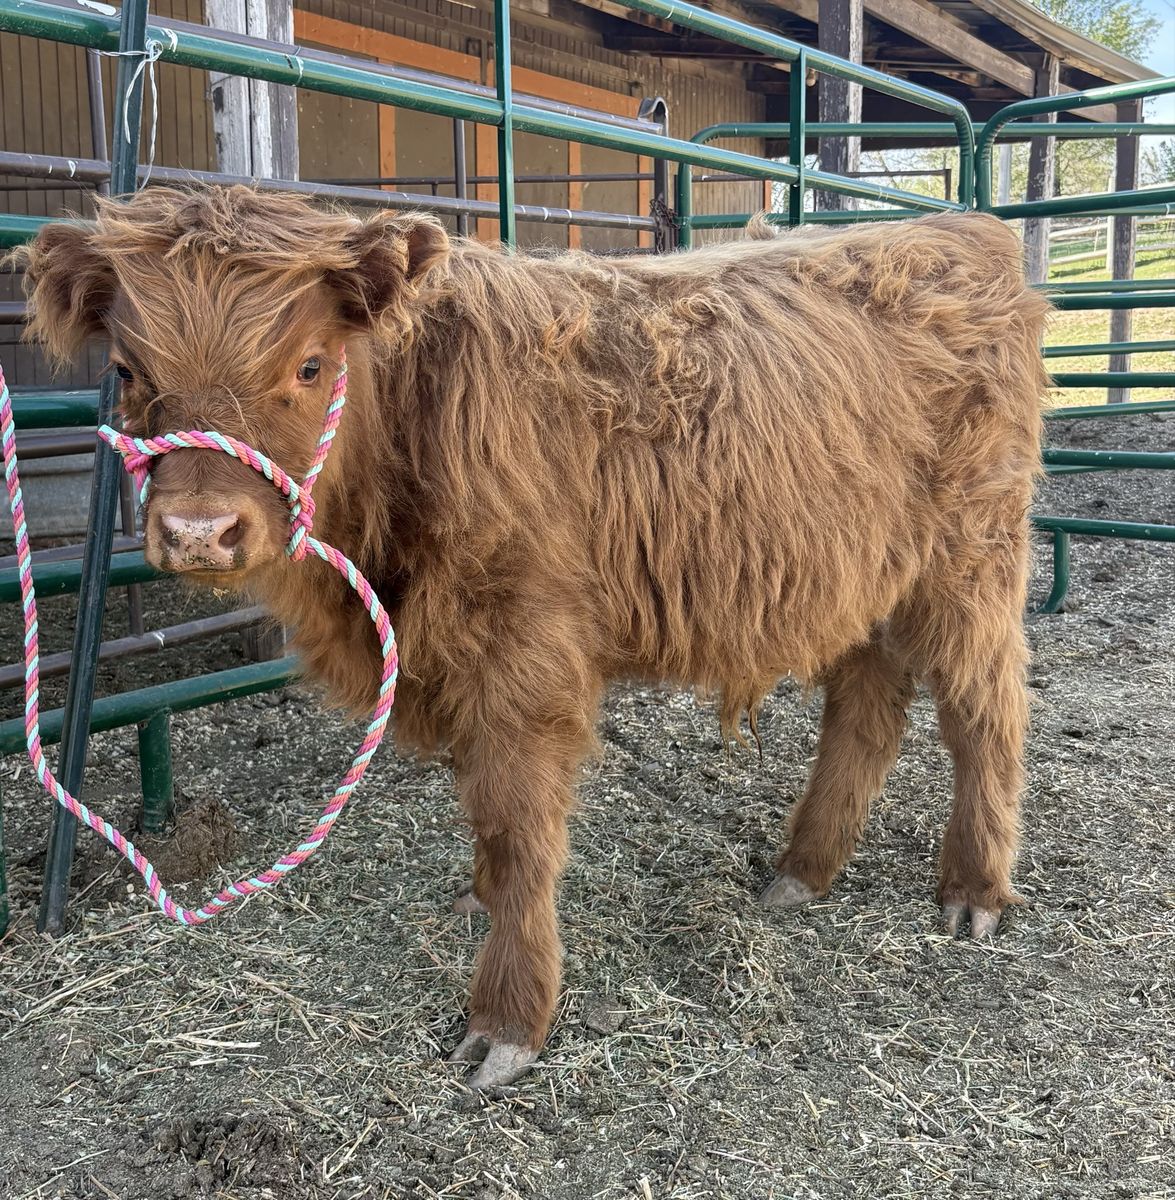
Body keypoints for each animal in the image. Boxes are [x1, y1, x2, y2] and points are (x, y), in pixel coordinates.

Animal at [16, 187, 1050, 1087]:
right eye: (127, 371)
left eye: (308, 364)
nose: (199, 531)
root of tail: (957, 229)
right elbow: (483, 808)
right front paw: (475, 896)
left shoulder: (523, 654)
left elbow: (519, 829)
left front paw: (507, 1021)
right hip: (860, 572)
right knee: (866, 704)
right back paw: (803, 870)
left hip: (971, 556)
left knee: (983, 706)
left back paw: (973, 889)